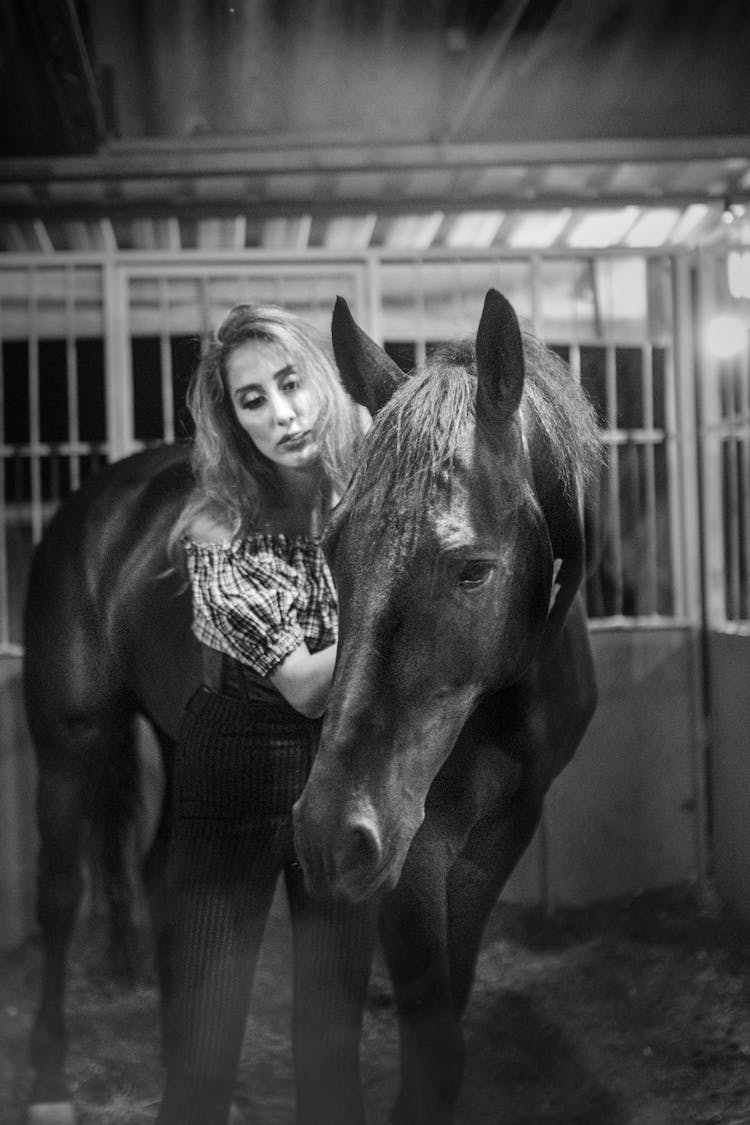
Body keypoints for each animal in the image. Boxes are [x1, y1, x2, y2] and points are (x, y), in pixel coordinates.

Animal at [292, 292, 602, 1125]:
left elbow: (452, 1009)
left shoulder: (508, 820)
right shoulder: (414, 839)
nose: (328, 835)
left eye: (473, 570)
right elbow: (434, 1043)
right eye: (332, 547)